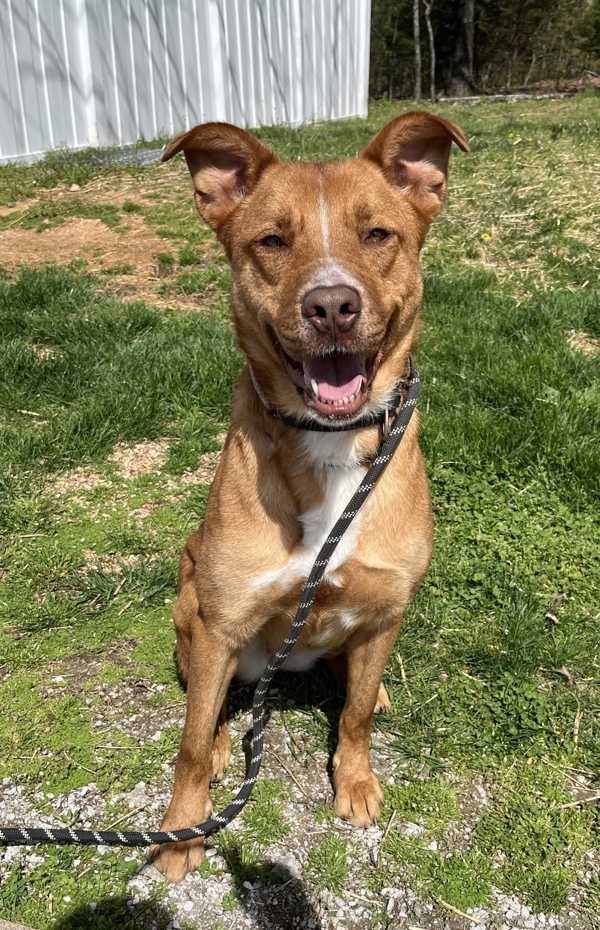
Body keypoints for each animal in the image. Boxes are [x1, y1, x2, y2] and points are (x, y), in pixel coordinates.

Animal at [151, 109, 468, 876]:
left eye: (378, 234)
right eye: (272, 240)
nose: (331, 306)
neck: (330, 441)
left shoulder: (385, 611)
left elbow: (350, 717)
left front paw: (354, 781)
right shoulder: (221, 623)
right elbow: (188, 745)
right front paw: (183, 830)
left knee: (352, 683)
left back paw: (373, 690)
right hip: (193, 612)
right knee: (209, 709)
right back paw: (224, 741)